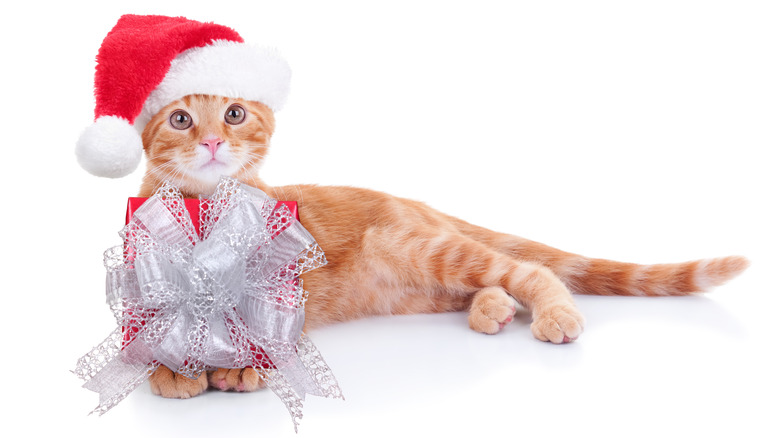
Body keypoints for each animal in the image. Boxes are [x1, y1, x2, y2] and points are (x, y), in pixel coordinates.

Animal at [140, 94, 748, 398]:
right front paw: (174, 370)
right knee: (489, 283)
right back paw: (492, 309)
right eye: (180, 119)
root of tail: (414, 202)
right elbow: (153, 339)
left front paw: (241, 368)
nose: (211, 141)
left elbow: (255, 331)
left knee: (529, 270)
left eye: (234, 114)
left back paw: (549, 313)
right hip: (413, 287)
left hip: (417, 247)